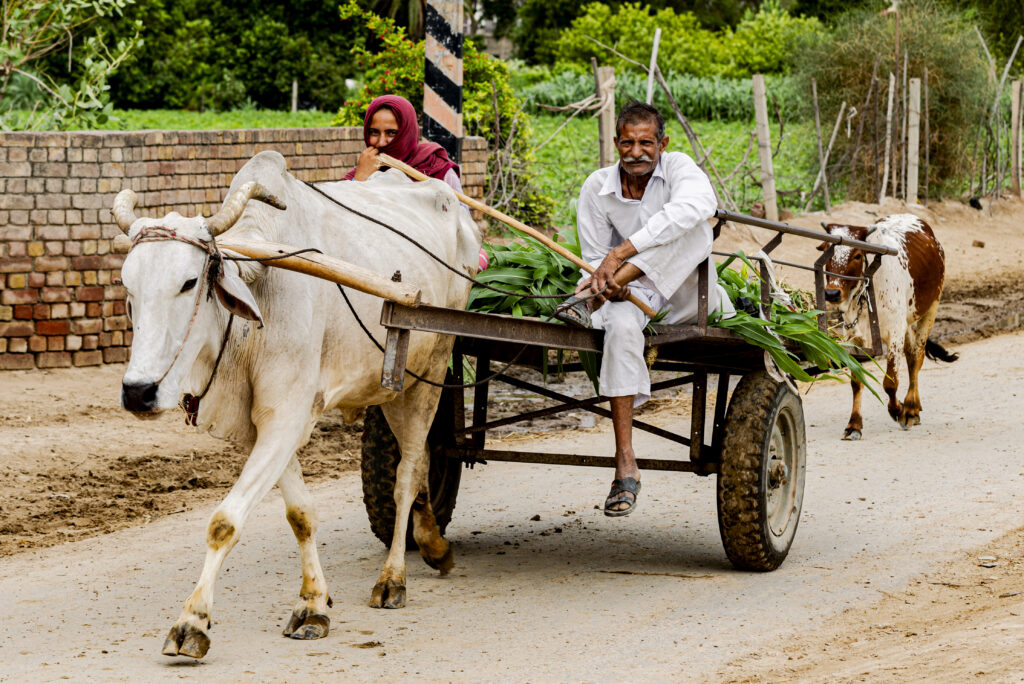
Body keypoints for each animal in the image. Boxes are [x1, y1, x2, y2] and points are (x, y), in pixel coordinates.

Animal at [815, 211, 958, 438]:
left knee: (917, 356)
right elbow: (856, 381)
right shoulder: (854, 337)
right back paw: (914, 406)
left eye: (857, 255)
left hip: (930, 308)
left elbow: (890, 383)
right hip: (906, 321)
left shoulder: (894, 334)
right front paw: (854, 424)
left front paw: (898, 410)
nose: (831, 293)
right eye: (828, 252)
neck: (868, 288)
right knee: (911, 354)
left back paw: (911, 408)